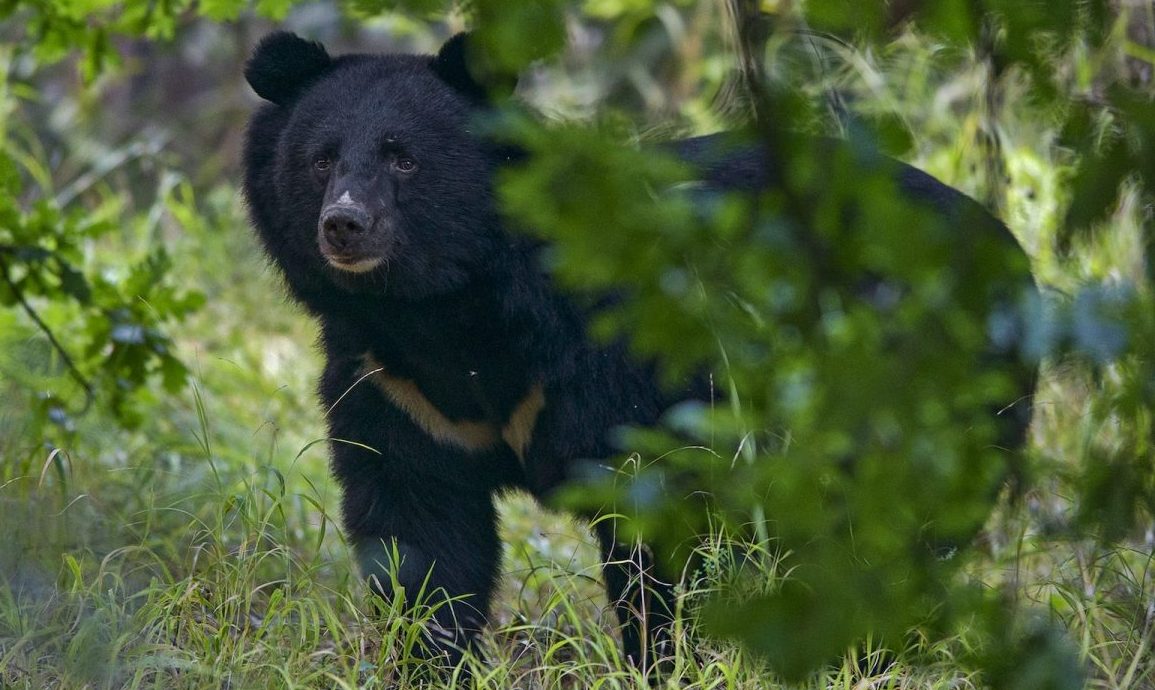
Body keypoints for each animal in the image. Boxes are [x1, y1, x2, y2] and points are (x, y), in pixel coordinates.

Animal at [239, 30, 1034, 674]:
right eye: (321, 160)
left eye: (402, 160)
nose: (344, 225)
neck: (443, 309)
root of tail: (1008, 250)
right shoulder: (395, 385)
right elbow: (420, 538)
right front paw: (430, 663)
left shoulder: (629, 359)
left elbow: (671, 527)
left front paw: (673, 662)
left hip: (916, 378)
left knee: (889, 529)